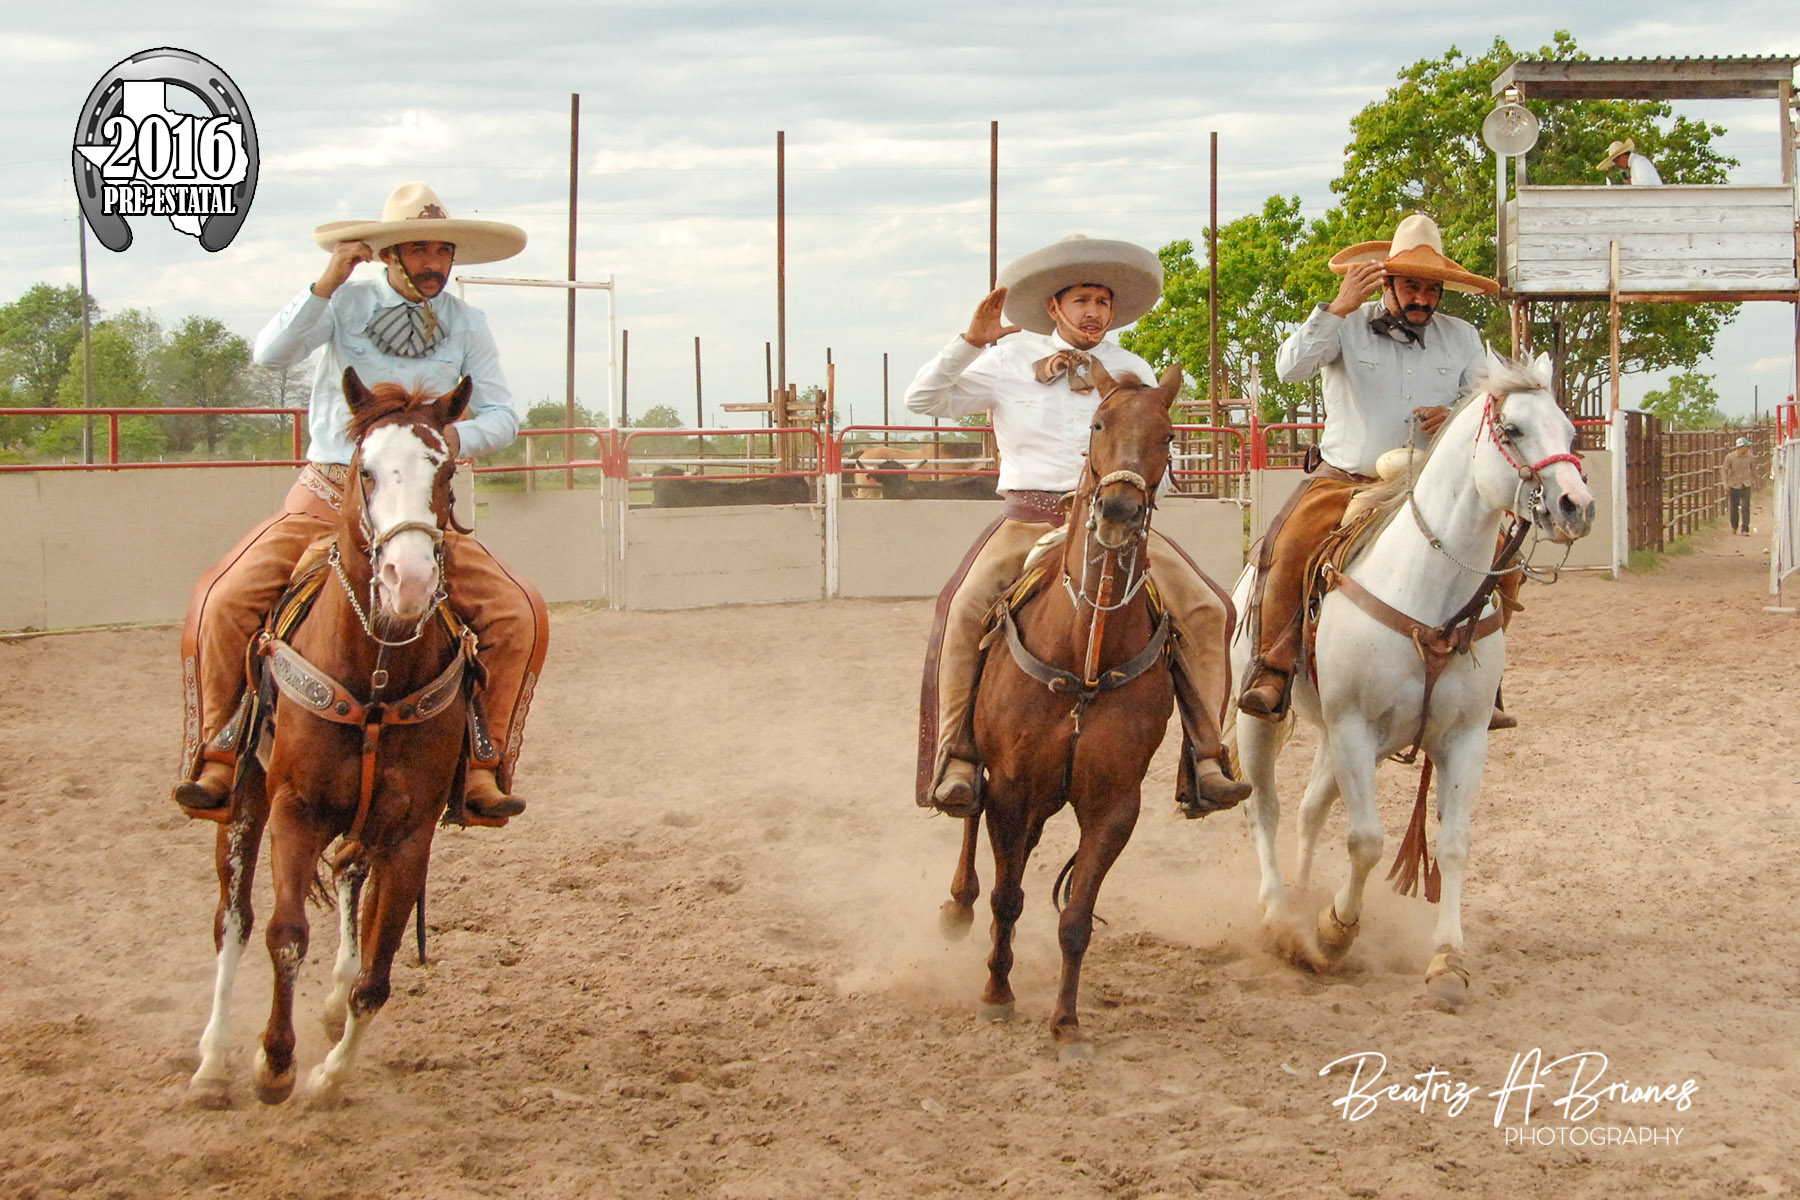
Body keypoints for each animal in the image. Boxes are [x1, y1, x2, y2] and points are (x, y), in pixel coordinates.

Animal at [189, 368, 480, 1106]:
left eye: (445, 472)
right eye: (366, 471)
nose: (408, 580)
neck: (375, 671)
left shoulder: (409, 833)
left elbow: (378, 974)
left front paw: (329, 1074)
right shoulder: (295, 808)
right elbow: (285, 933)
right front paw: (274, 1063)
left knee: (350, 880)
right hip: (242, 800)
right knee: (233, 920)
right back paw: (211, 1061)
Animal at [939, 361, 1185, 1059]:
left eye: (1168, 434)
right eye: (1098, 424)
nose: (1120, 510)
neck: (1084, 656)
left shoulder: (1114, 805)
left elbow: (1075, 918)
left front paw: (1066, 1022)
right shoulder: (1012, 789)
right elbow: (1008, 897)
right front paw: (997, 994)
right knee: (970, 819)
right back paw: (957, 905)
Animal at [1228, 351, 1594, 1010]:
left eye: (1572, 433)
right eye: (1513, 430)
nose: (1576, 505)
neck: (1428, 593)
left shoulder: (1464, 740)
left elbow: (1452, 846)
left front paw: (1448, 959)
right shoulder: (1354, 729)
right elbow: (1367, 842)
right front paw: (1334, 932)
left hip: (1329, 736)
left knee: (1308, 810)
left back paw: (1301, 892)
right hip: (1261, 718)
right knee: (1264, 807)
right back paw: (1278, 913)